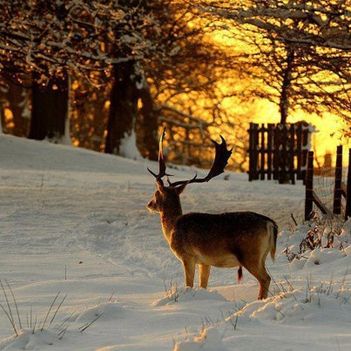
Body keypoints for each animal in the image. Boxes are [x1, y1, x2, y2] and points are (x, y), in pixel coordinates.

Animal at [147, 131, 280, 302]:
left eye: (156, 193)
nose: (149, 204)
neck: (172, 228)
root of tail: (270, 224)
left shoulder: (187, 256)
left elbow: (189, 283)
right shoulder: (205, 262)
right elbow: (203, 284)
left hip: (250, 254)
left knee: (265, 278)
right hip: (262, 255)